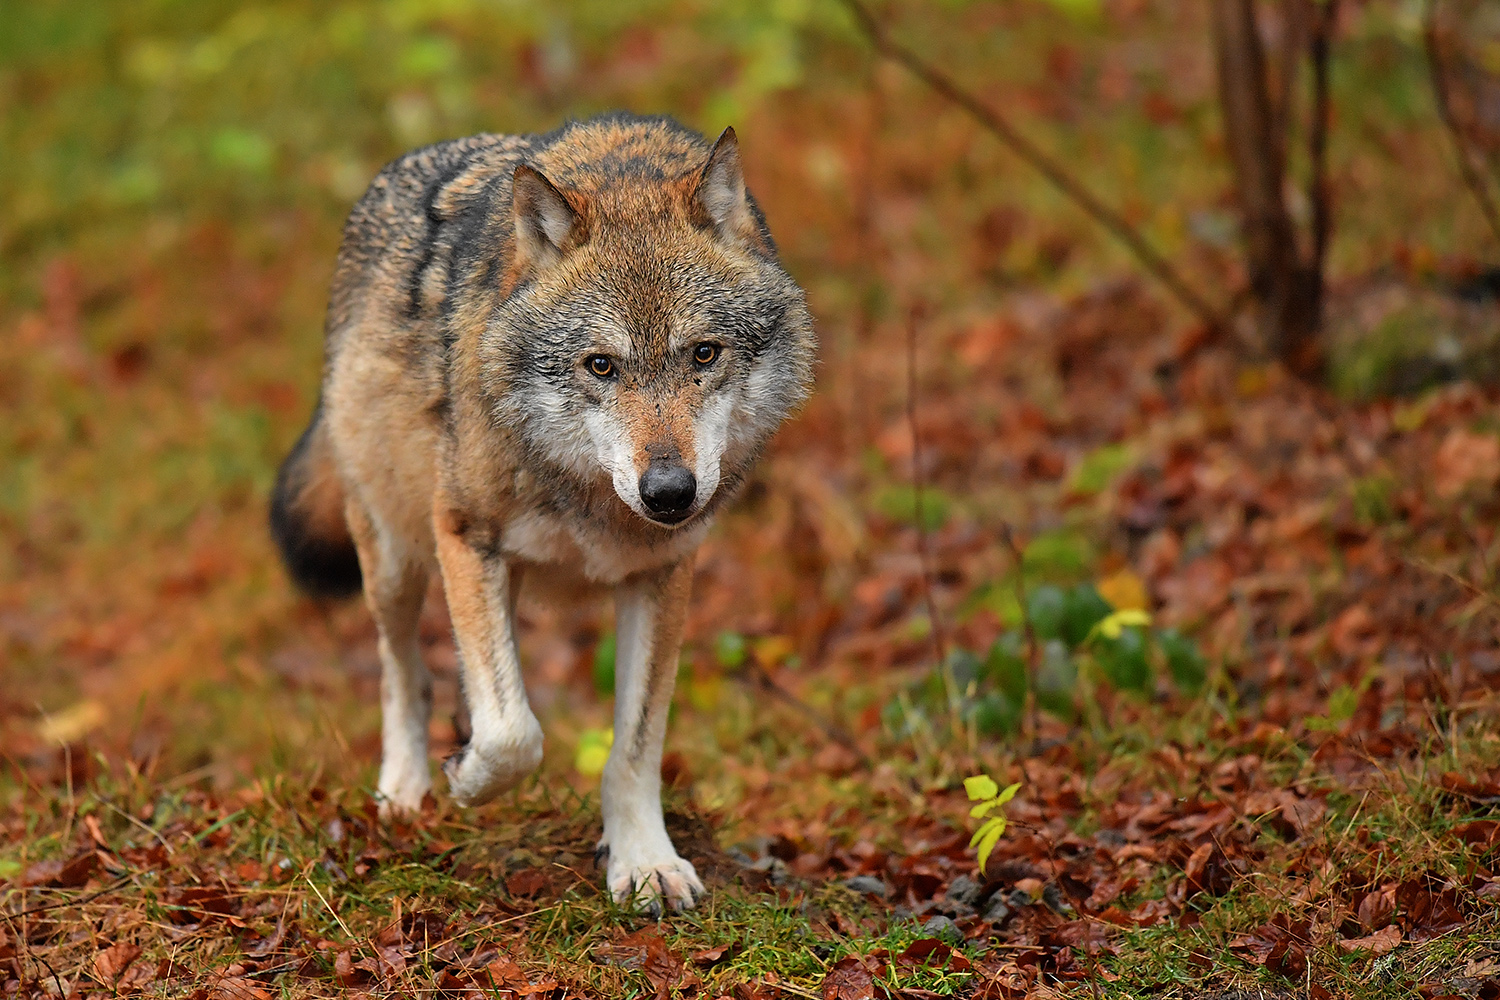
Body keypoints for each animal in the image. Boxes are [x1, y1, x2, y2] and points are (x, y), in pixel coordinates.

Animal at [269, 113, 815, 912]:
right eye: (601, 366)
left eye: (703, 355)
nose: (670, 492)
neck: (590, 498)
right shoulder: (464, 536)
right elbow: (512, 736)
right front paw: (467, 778)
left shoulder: (664, 572)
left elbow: (633, 746)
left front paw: (644, 862)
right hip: (396, 558)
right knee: (405, 674)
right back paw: (405, 789)